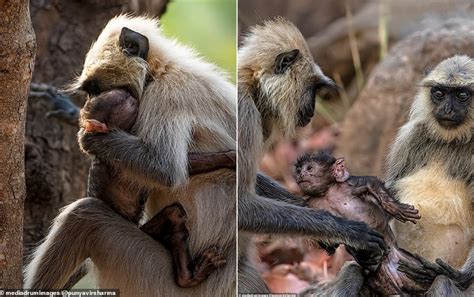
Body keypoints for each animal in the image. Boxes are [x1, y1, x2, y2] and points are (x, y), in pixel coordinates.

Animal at [79, 89, 231, 286]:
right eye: (123, 100)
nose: (131, 95)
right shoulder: (119, 164)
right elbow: (168, 172)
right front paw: (229, 158)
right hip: (138, 232)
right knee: (175, 214)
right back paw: (187, 278)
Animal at [237, 17, 388, 292]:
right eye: (314, 88)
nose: (314, 109)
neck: (252, 85)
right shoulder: (244, 112)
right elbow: (241, 206)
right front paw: (346, 230)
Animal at [296, 151, 466, 294]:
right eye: (298, 170)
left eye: (309, 168)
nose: (300, 175)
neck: (328, 194)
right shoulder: (311, 203)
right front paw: (332, 245)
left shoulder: (350, 185)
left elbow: (370, 183)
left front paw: (395, 208)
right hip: (379, 277)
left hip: (407, 265)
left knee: (426, 277)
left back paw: (433, 274)